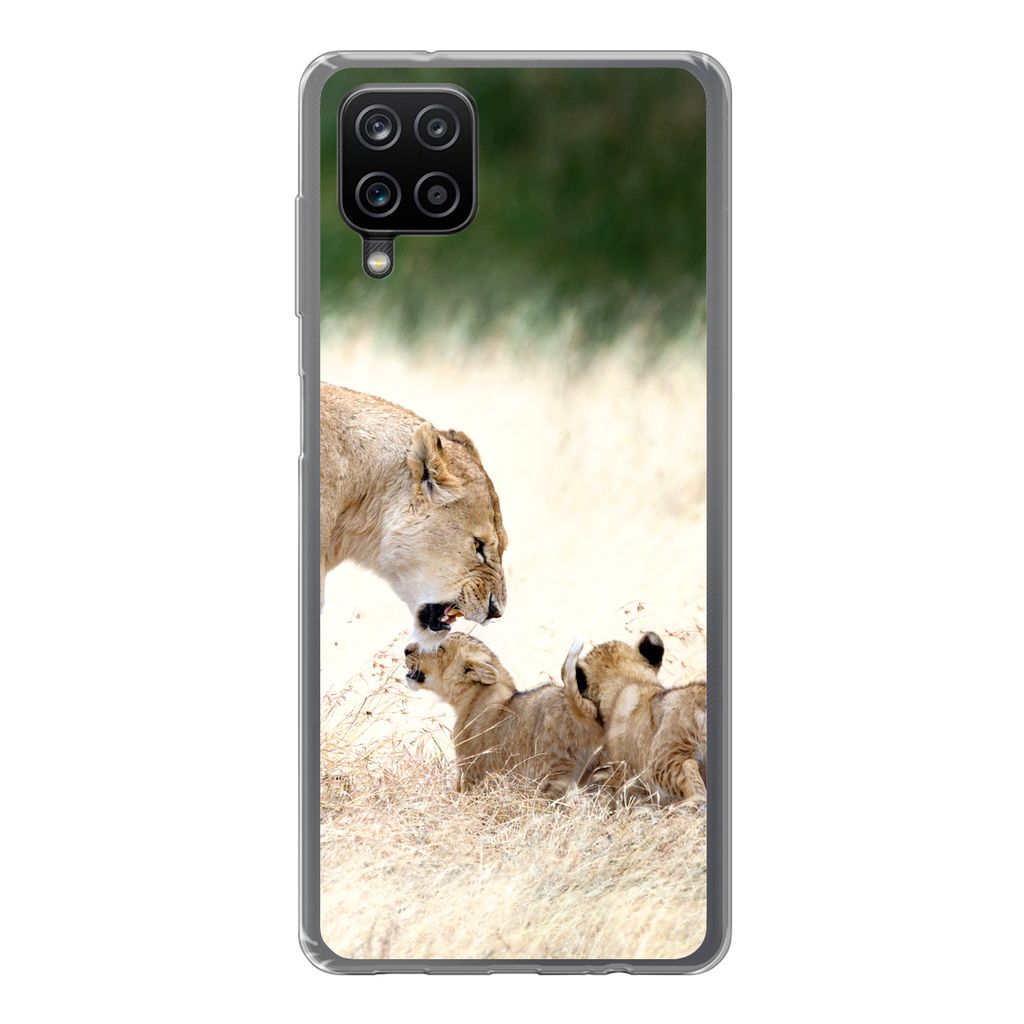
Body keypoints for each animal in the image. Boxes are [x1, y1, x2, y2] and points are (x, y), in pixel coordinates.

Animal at [404, 632, 605, 797]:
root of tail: (581, 706)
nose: (406, 650)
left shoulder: (470, 771)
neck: (473, 694)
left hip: (548, 772)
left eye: (439, 647)